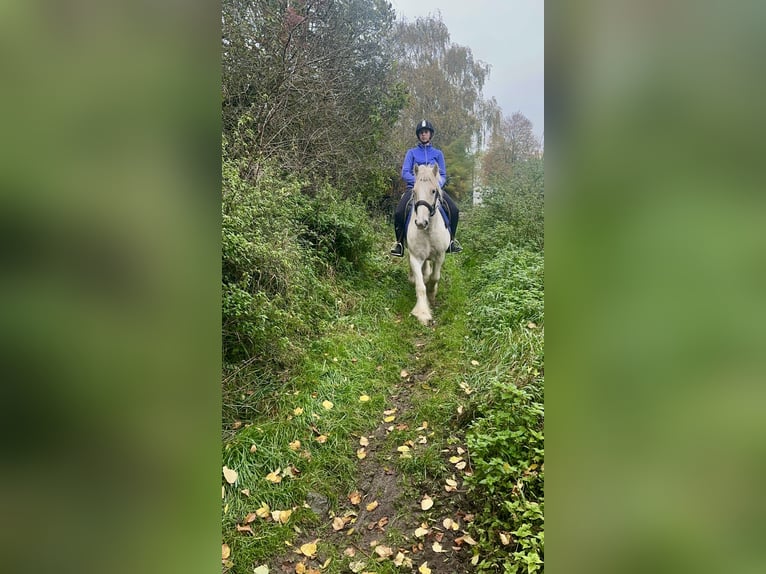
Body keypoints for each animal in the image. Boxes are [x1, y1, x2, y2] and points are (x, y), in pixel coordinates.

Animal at [404, 164, 452, 326]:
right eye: (414, 191)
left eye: (433, 191)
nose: (420, 223)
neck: (428, 230)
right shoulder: (415, 257)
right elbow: (420, 286)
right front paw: (422, 313)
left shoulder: (440, 256)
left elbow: (435, 277)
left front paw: (432, 295)